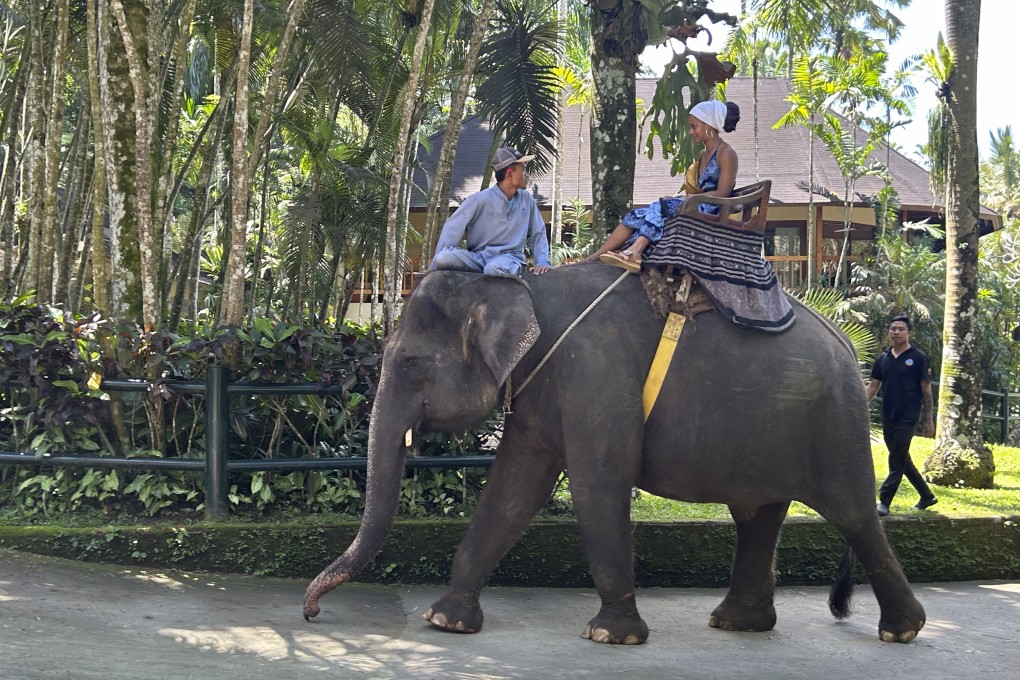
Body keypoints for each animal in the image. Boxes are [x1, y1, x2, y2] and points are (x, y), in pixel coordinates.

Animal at [299, 265, 926, 644]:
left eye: (408, 361)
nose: (311, 612)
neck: (522, 287)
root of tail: (850, 343)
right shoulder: (541, 395)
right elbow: (513, 491)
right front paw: (446, 622)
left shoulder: (594, 376)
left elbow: (597, 484)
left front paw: (611, 636)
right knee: (757, 513)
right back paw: (736, 624)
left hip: (836, 422)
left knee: (852, 515)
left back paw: (902, 631)